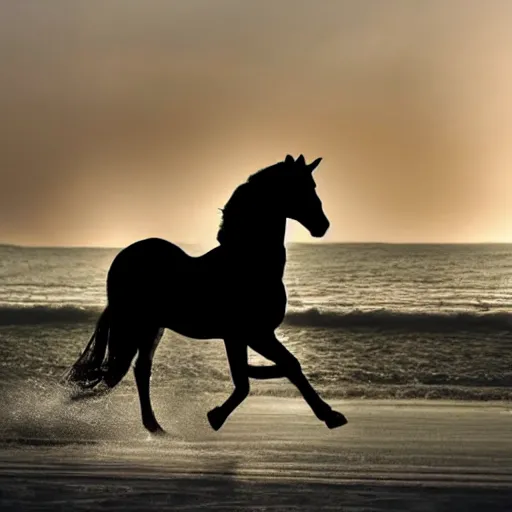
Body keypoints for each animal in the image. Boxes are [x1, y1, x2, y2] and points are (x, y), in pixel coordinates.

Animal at [62, 154, 346, 434]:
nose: (323, 225)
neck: (248, 262)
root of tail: (122, 259)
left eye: (312, 186)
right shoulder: (252, 335)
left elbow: (265, 372)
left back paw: (154, 426)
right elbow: (268, 374)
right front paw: (216, 416)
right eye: (302, 187)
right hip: (136, 326)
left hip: (153, 329)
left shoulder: (245, 337)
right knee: (117, 372)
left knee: (137, 370)